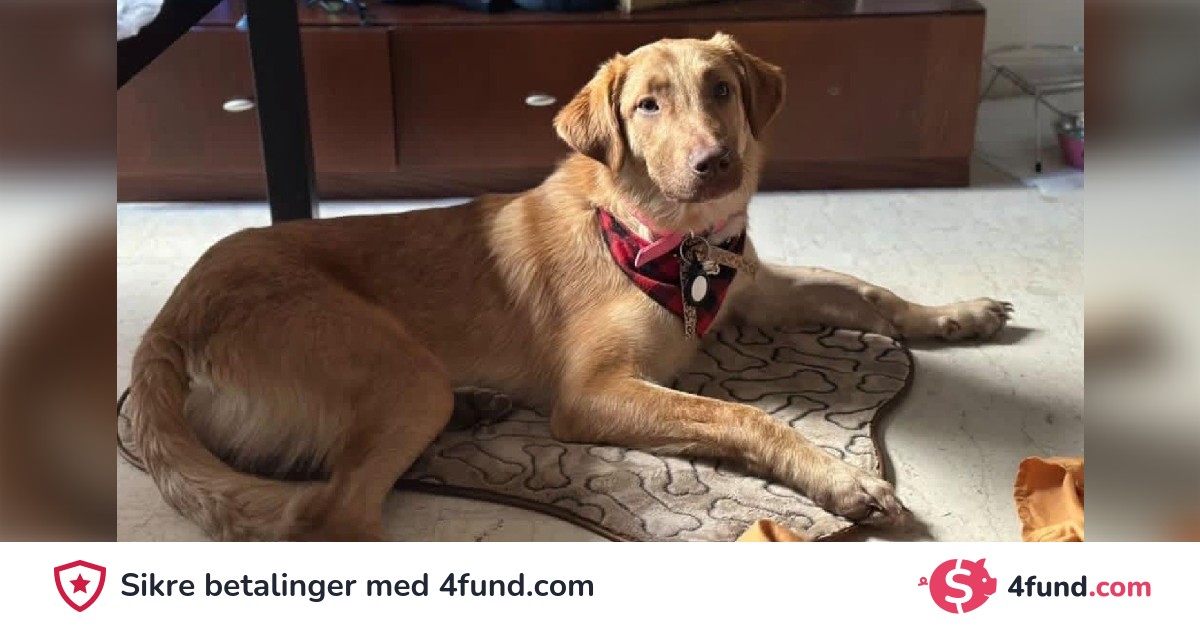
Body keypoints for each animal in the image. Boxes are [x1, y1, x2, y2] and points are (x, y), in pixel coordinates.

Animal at [127, 34, 1011, 541]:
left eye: (721, 89)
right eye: (647, 105)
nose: (715, 163)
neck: (673, 240)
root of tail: (167, 321)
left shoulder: (756, 290)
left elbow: (868, 294)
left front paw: (956, 315)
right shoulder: (592, 392)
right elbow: (738, 414)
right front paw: (841, 480)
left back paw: (476, 407)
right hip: (393, 367)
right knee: (333, 511)